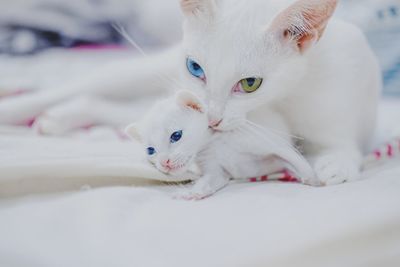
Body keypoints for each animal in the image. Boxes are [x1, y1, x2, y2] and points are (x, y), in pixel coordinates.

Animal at [0, 0, 382, 186]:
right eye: (196, 67)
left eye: (250, 83)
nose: (210, 117)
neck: (287, 95)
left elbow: (341, 148)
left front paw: (333, 165)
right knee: (93, 85)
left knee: (107, 106)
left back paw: (64, 117)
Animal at [126, 91, 318, 200]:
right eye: (151, 150)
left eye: (176, 136)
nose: (164, 162)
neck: (215, 141)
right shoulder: (215, 171)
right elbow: (211, 180)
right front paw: (193, 192)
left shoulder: (271, 143)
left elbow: (293, 158)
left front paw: (313, 179)